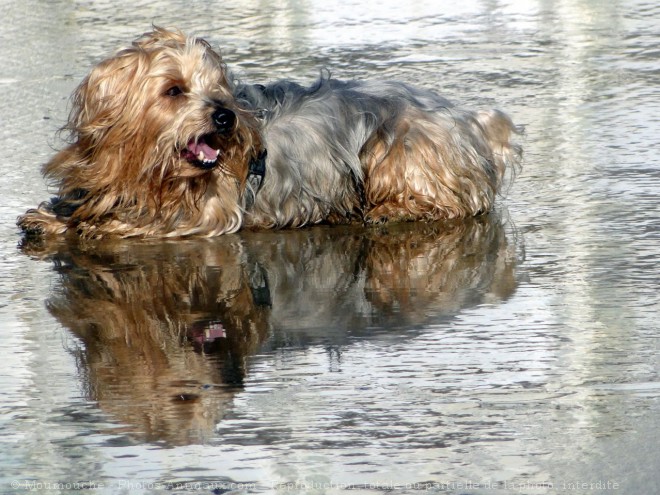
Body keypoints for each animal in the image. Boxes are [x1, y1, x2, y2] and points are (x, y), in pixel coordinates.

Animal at [16, 27, 520, 238]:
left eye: (219, 87)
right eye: (174, 90)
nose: (225, 117)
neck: (153, 169)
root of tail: (471, 121)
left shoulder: (212, 209)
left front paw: (102, 225)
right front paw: (54, 216)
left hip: (402, 143)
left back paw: (392, 208)